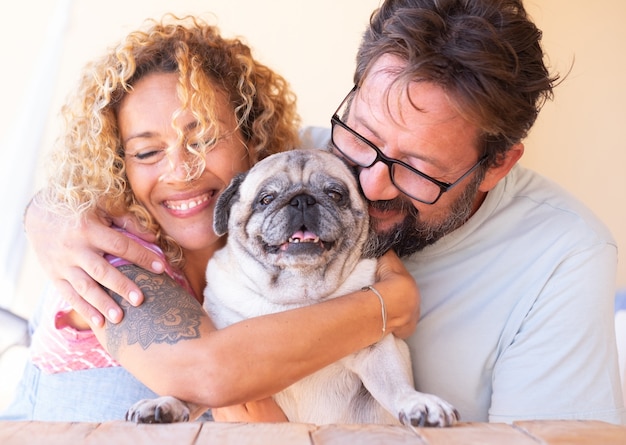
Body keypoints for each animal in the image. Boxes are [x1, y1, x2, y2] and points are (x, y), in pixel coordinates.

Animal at [127, 149, 458, 426]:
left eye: (335, 194)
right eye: (266, 199)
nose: (301, 200)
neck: (297, 293)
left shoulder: (378, 349)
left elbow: (396, 385)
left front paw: (419, 403)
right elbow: (193, 392)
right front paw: (166, 404)